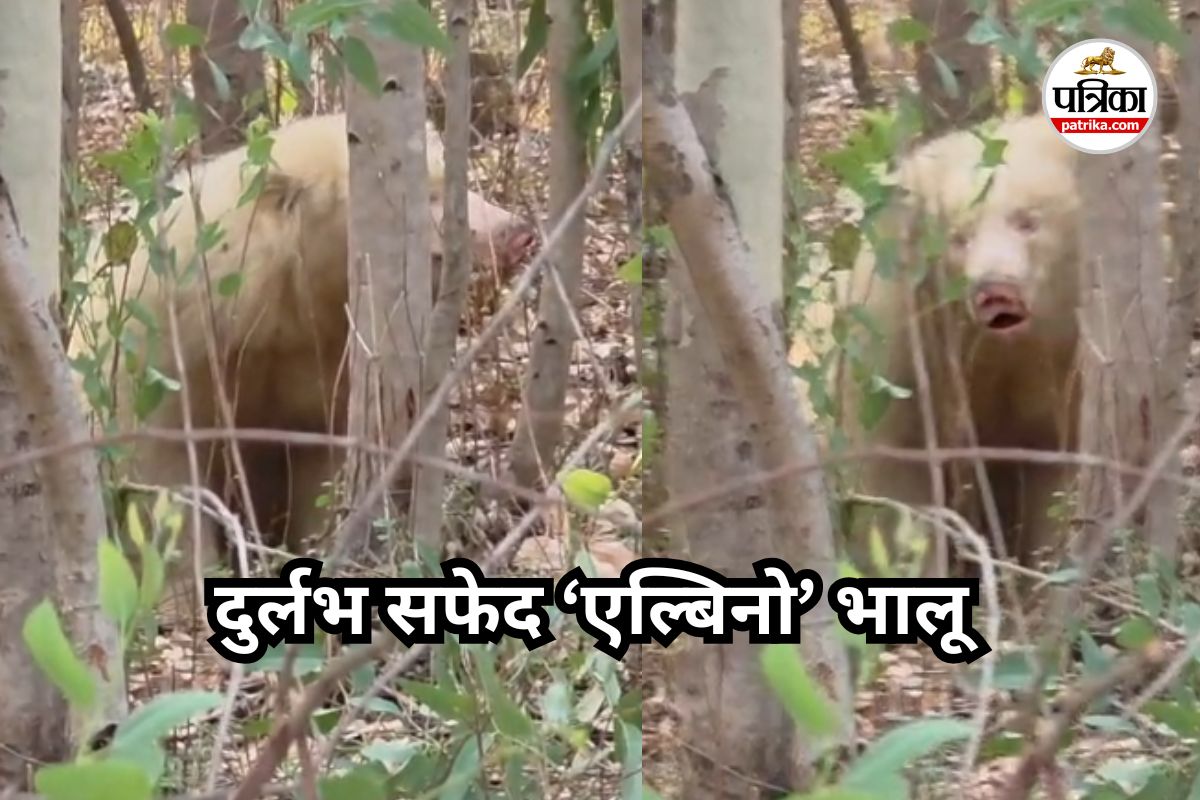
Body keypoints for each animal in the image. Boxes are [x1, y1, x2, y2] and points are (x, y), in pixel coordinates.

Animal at [73, 112, 535, 590]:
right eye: (428, 192)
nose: (517, 233)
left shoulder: (326, 359)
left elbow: (320, 465)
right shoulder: (164, 353)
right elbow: (162, 477)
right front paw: (186, 579)